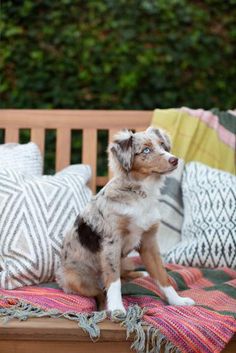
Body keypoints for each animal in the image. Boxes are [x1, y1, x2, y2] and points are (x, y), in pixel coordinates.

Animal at [56, 126, 195, 310]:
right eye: (146, 150)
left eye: (162, 146)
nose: (175, 160)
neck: (139, 193)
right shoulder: (112, 242)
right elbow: (114, 281)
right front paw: (116, 308)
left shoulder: (149, 242)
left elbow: (162, 275)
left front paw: (177, 300)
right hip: (75, 278)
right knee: (100, 290)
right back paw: (104, 306)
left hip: (126, 261)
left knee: (122, 275)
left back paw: (141, 274)